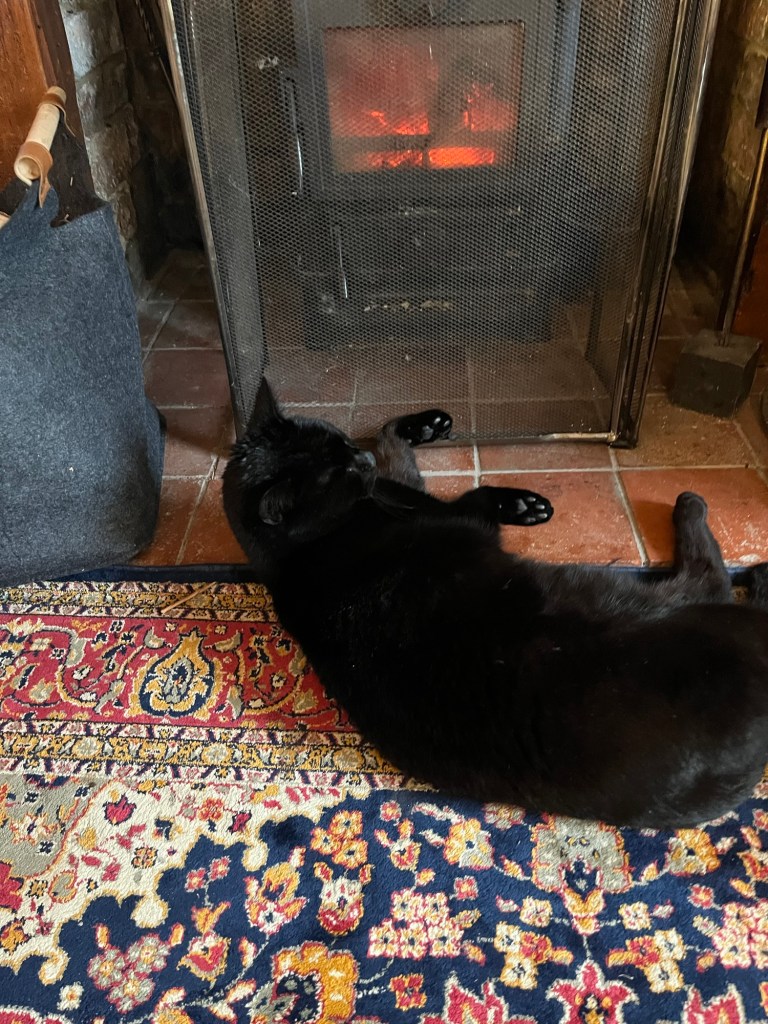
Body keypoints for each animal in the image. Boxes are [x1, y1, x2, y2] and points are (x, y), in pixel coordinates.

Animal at [223, 383, 768, 829]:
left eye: (340, 442)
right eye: (339, 472)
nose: (361, 461)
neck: (301, 553)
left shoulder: (396, 488)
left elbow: (390, 441)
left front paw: (424, 425)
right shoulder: (447, 512)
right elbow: (474, 490)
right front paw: (523, 504)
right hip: (637, 596)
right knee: (712, 576)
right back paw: (698, 513)